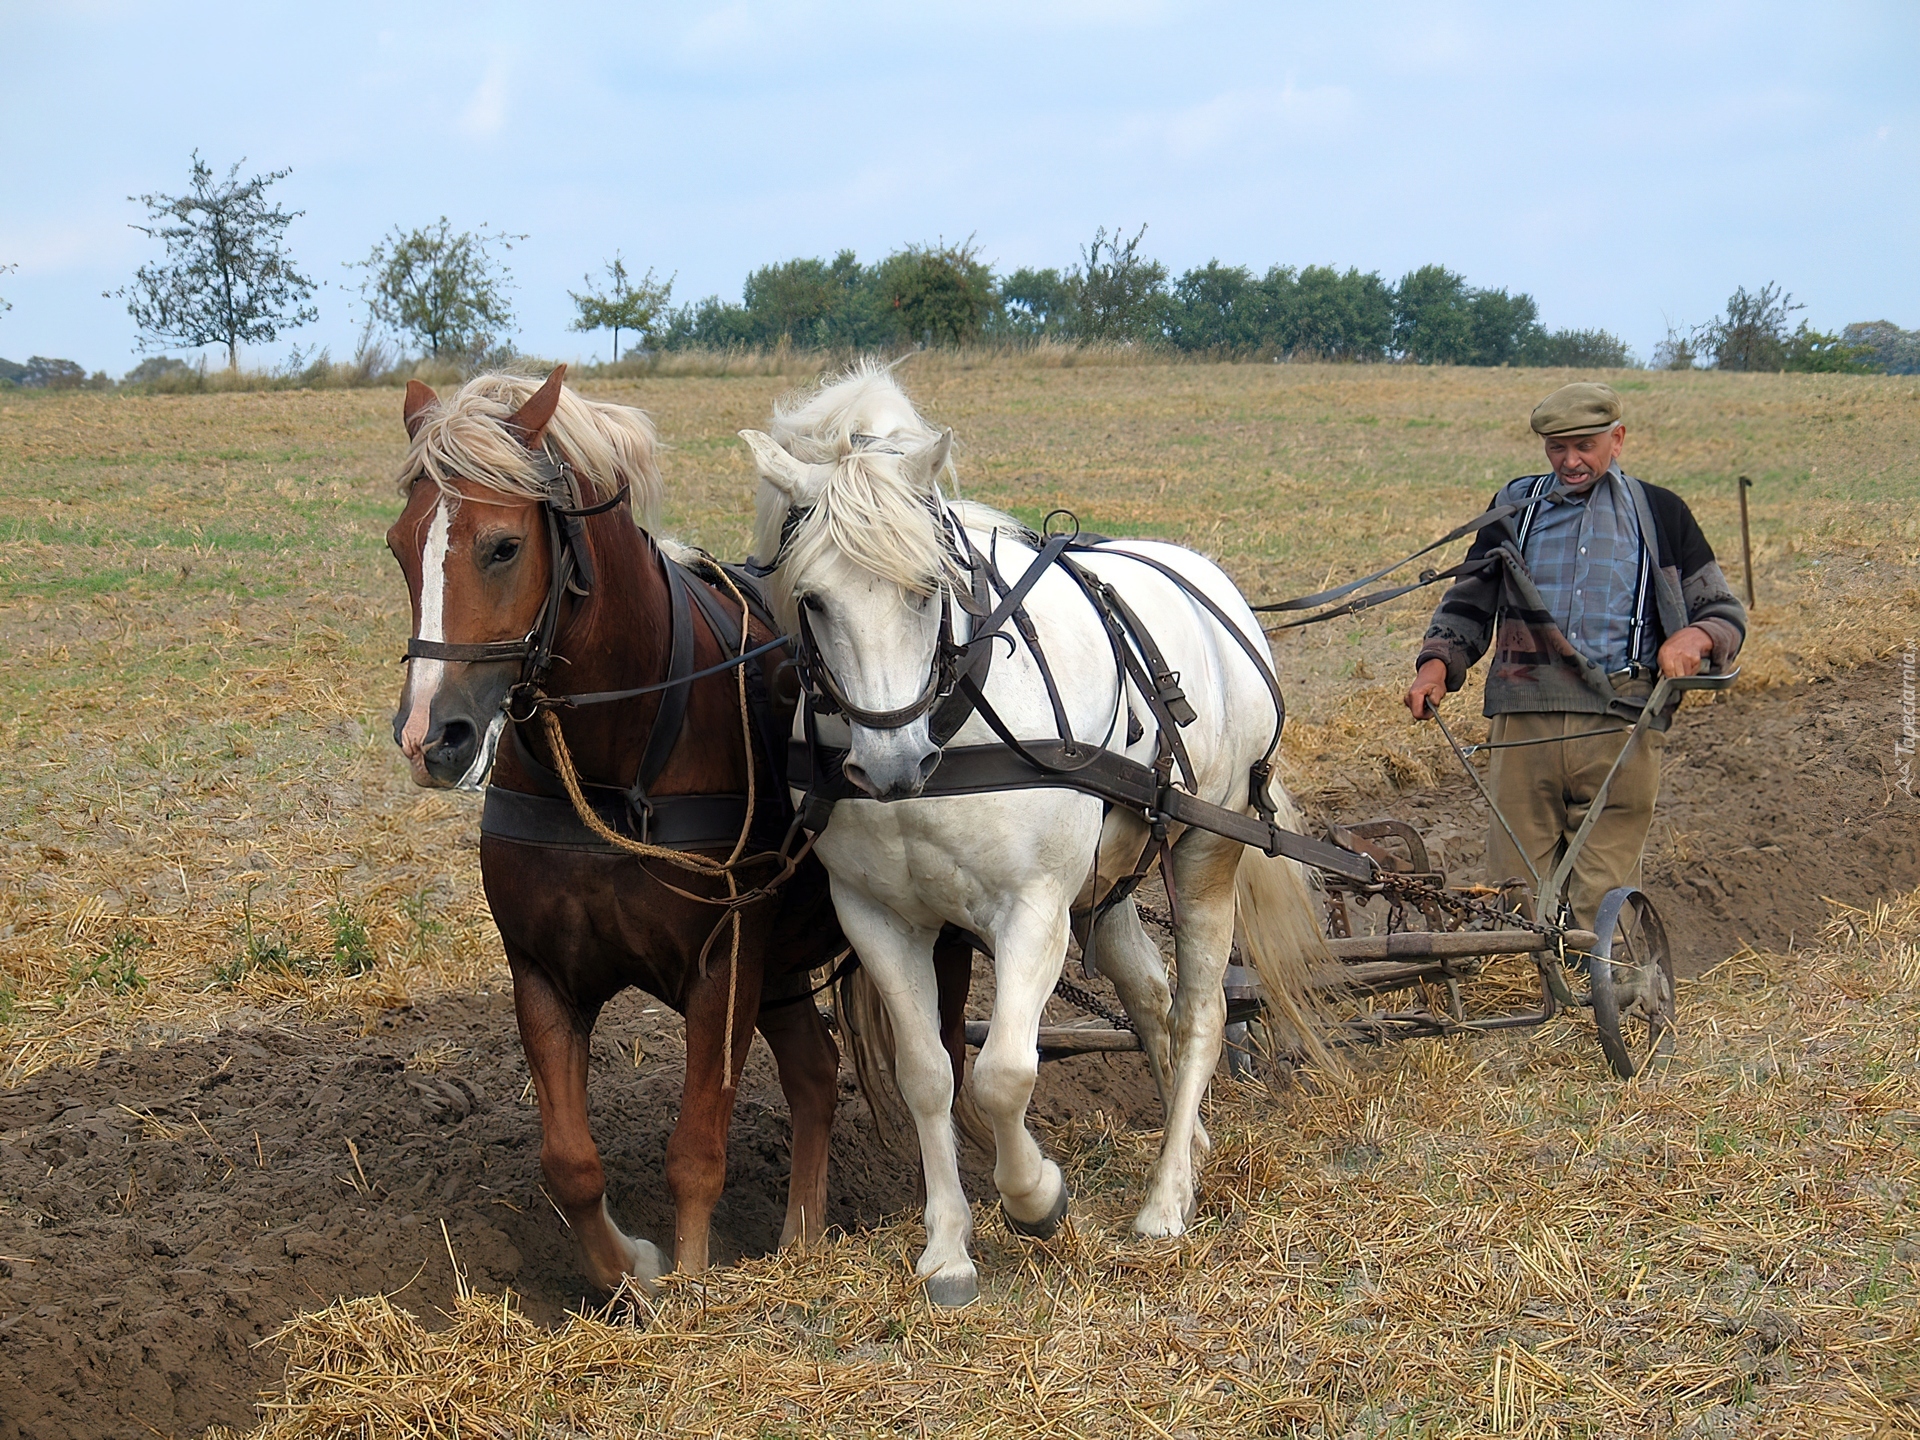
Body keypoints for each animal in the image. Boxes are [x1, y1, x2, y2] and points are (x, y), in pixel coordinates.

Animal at [382, 366, 967, 1290]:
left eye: (502, 546)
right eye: (401, 545)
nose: (428, 738)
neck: (613, 765)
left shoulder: (723, 966)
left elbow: (697, 1150)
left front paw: (690, 1286)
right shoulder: (543, 974)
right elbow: (570, 1164)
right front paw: (632, 1272)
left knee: (939, 1061)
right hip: (782, 968)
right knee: (816, 1073)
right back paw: (801, 1241)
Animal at [737, 362, 1336, 1305]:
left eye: (927, 588)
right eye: (812, 599)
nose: (892, 763)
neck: (952, 721)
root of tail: (1213, 587)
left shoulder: (1033, 909)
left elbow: (1004, 1075)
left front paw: (1037, 1198)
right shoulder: (875, 916)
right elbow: (929, 1075)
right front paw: (948, 1248)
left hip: (1207, 849)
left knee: (1201, 1011)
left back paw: (1166, 1199)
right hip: (1111, 881)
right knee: (1152, 998)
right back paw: (1191, 1145)